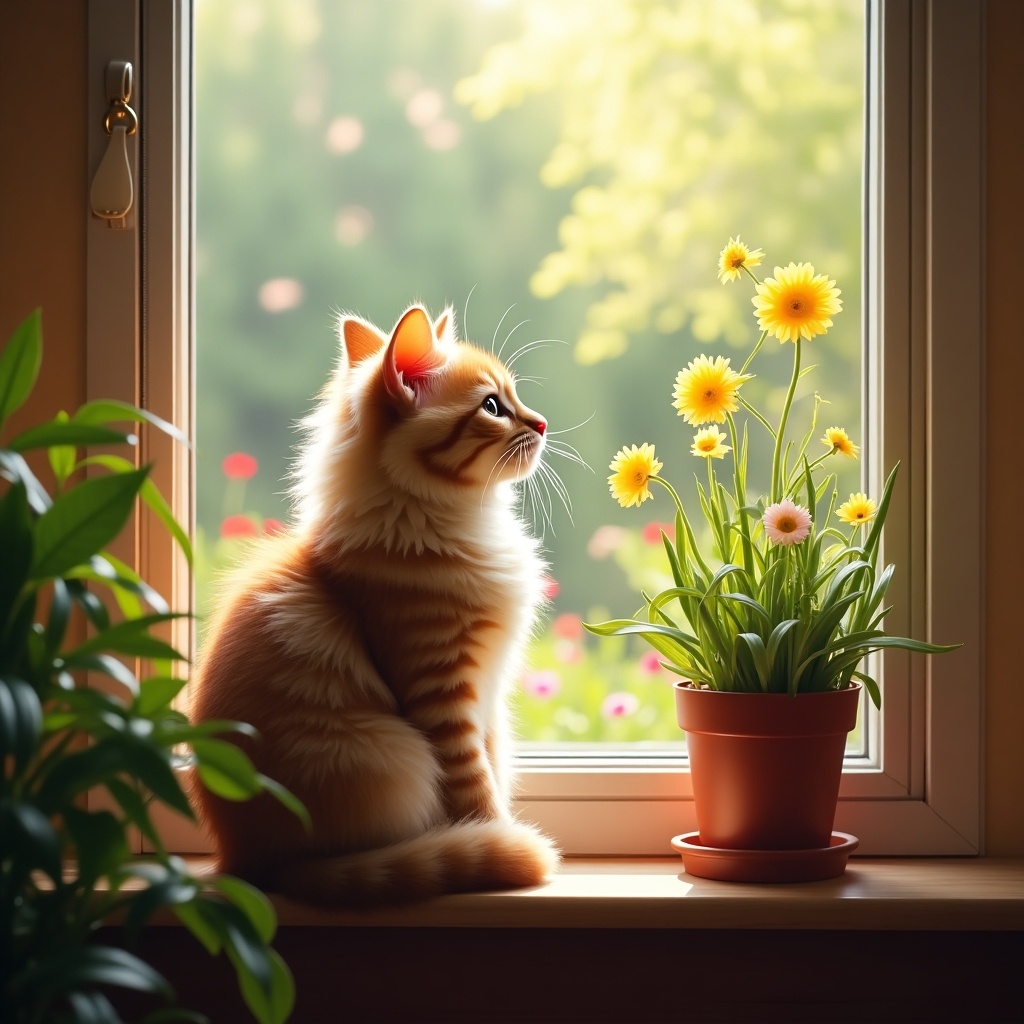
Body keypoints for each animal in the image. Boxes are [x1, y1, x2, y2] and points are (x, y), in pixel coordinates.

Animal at [190, 301, 561, 905]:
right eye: (492, 406)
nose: (543, 423)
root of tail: (254, 863)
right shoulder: (443, 694)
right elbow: (477, 787)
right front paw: (499, 837)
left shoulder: (488, 696)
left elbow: (494, 767)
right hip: (394, 755)